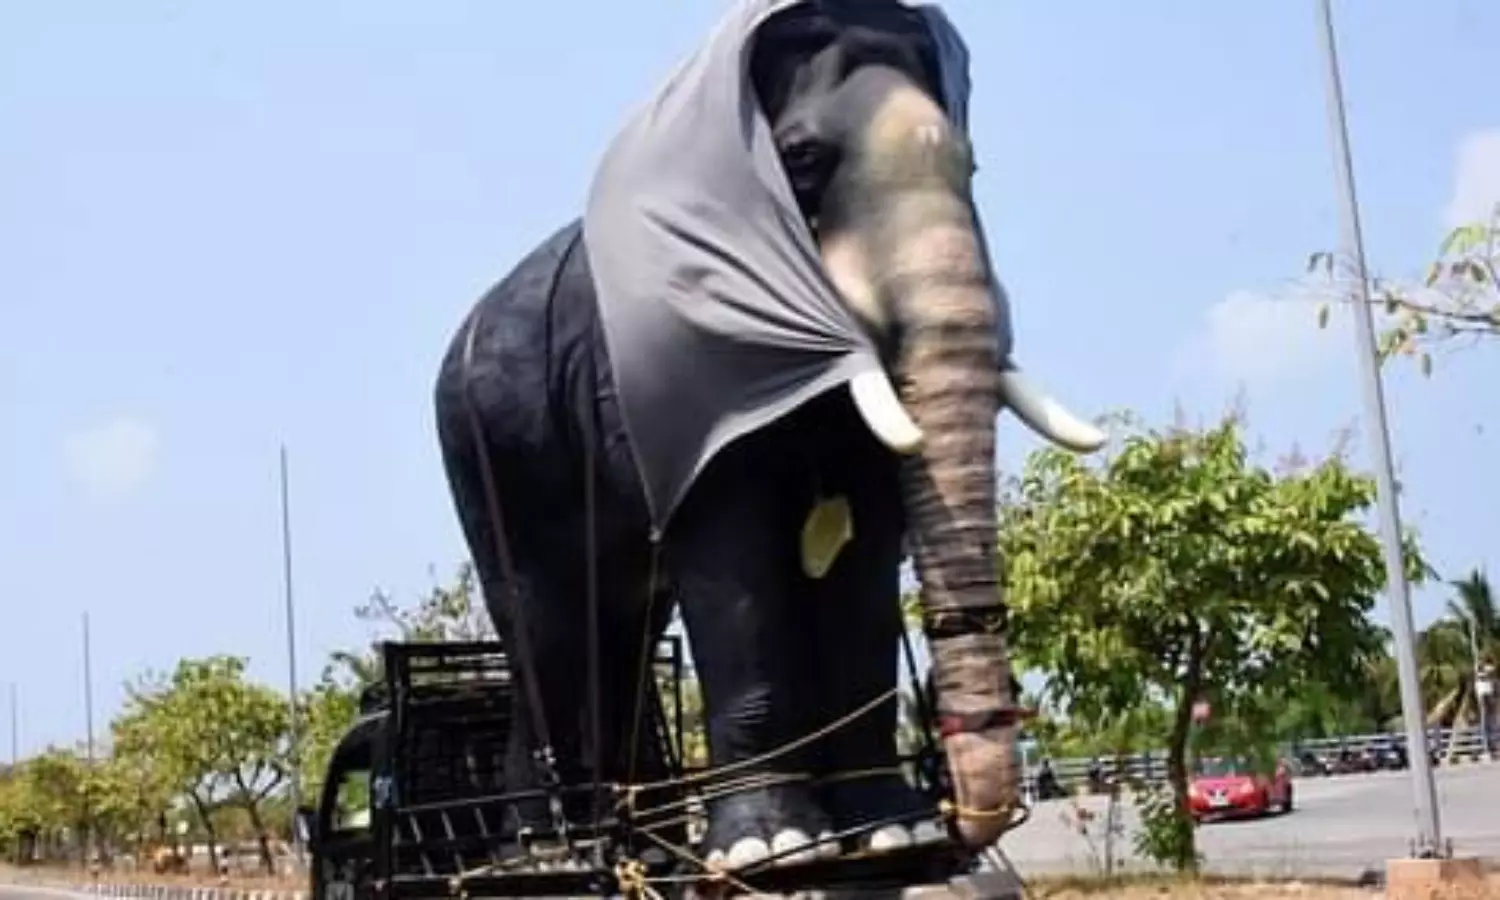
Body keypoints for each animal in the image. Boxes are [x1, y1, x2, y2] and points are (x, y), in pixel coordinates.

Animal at [432, 0, 1105, 873]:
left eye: (974, 168)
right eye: (802, 158)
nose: (967, 822)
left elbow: (862, 542)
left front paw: (893, 836)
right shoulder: (676, 376)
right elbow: (733, 552)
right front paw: (778, 853)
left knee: (620, 621)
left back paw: (642, 853)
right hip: (483, 444)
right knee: (543, 624)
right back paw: (550, 859)